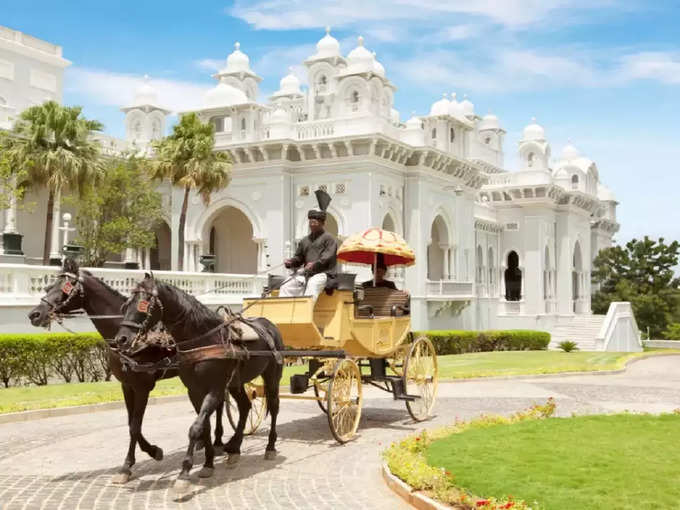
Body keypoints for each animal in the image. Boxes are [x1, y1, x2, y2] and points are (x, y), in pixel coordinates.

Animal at [27, 258, 228, 482]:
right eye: (48, 287)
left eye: (65, 288)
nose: (34, 314)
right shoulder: (127, 385)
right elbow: (132, 423)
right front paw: (148, 453)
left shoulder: (142, 386)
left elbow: (134, 426)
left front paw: (132, 463)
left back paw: (217, 442)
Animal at [113, 272, 282, 496]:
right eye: (125, 305)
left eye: (144, 304)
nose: (121, 339)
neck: (203, 340)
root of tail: (269, 325)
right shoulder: (194, 391)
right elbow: (205, 427)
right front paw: (208, 464)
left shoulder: (215, 389)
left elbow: (195, 428)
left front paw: (184, 473)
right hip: (235, 383)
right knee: (245, 406)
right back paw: (235, 448)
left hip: (272, 376)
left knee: (274, 406)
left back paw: (270, 447)